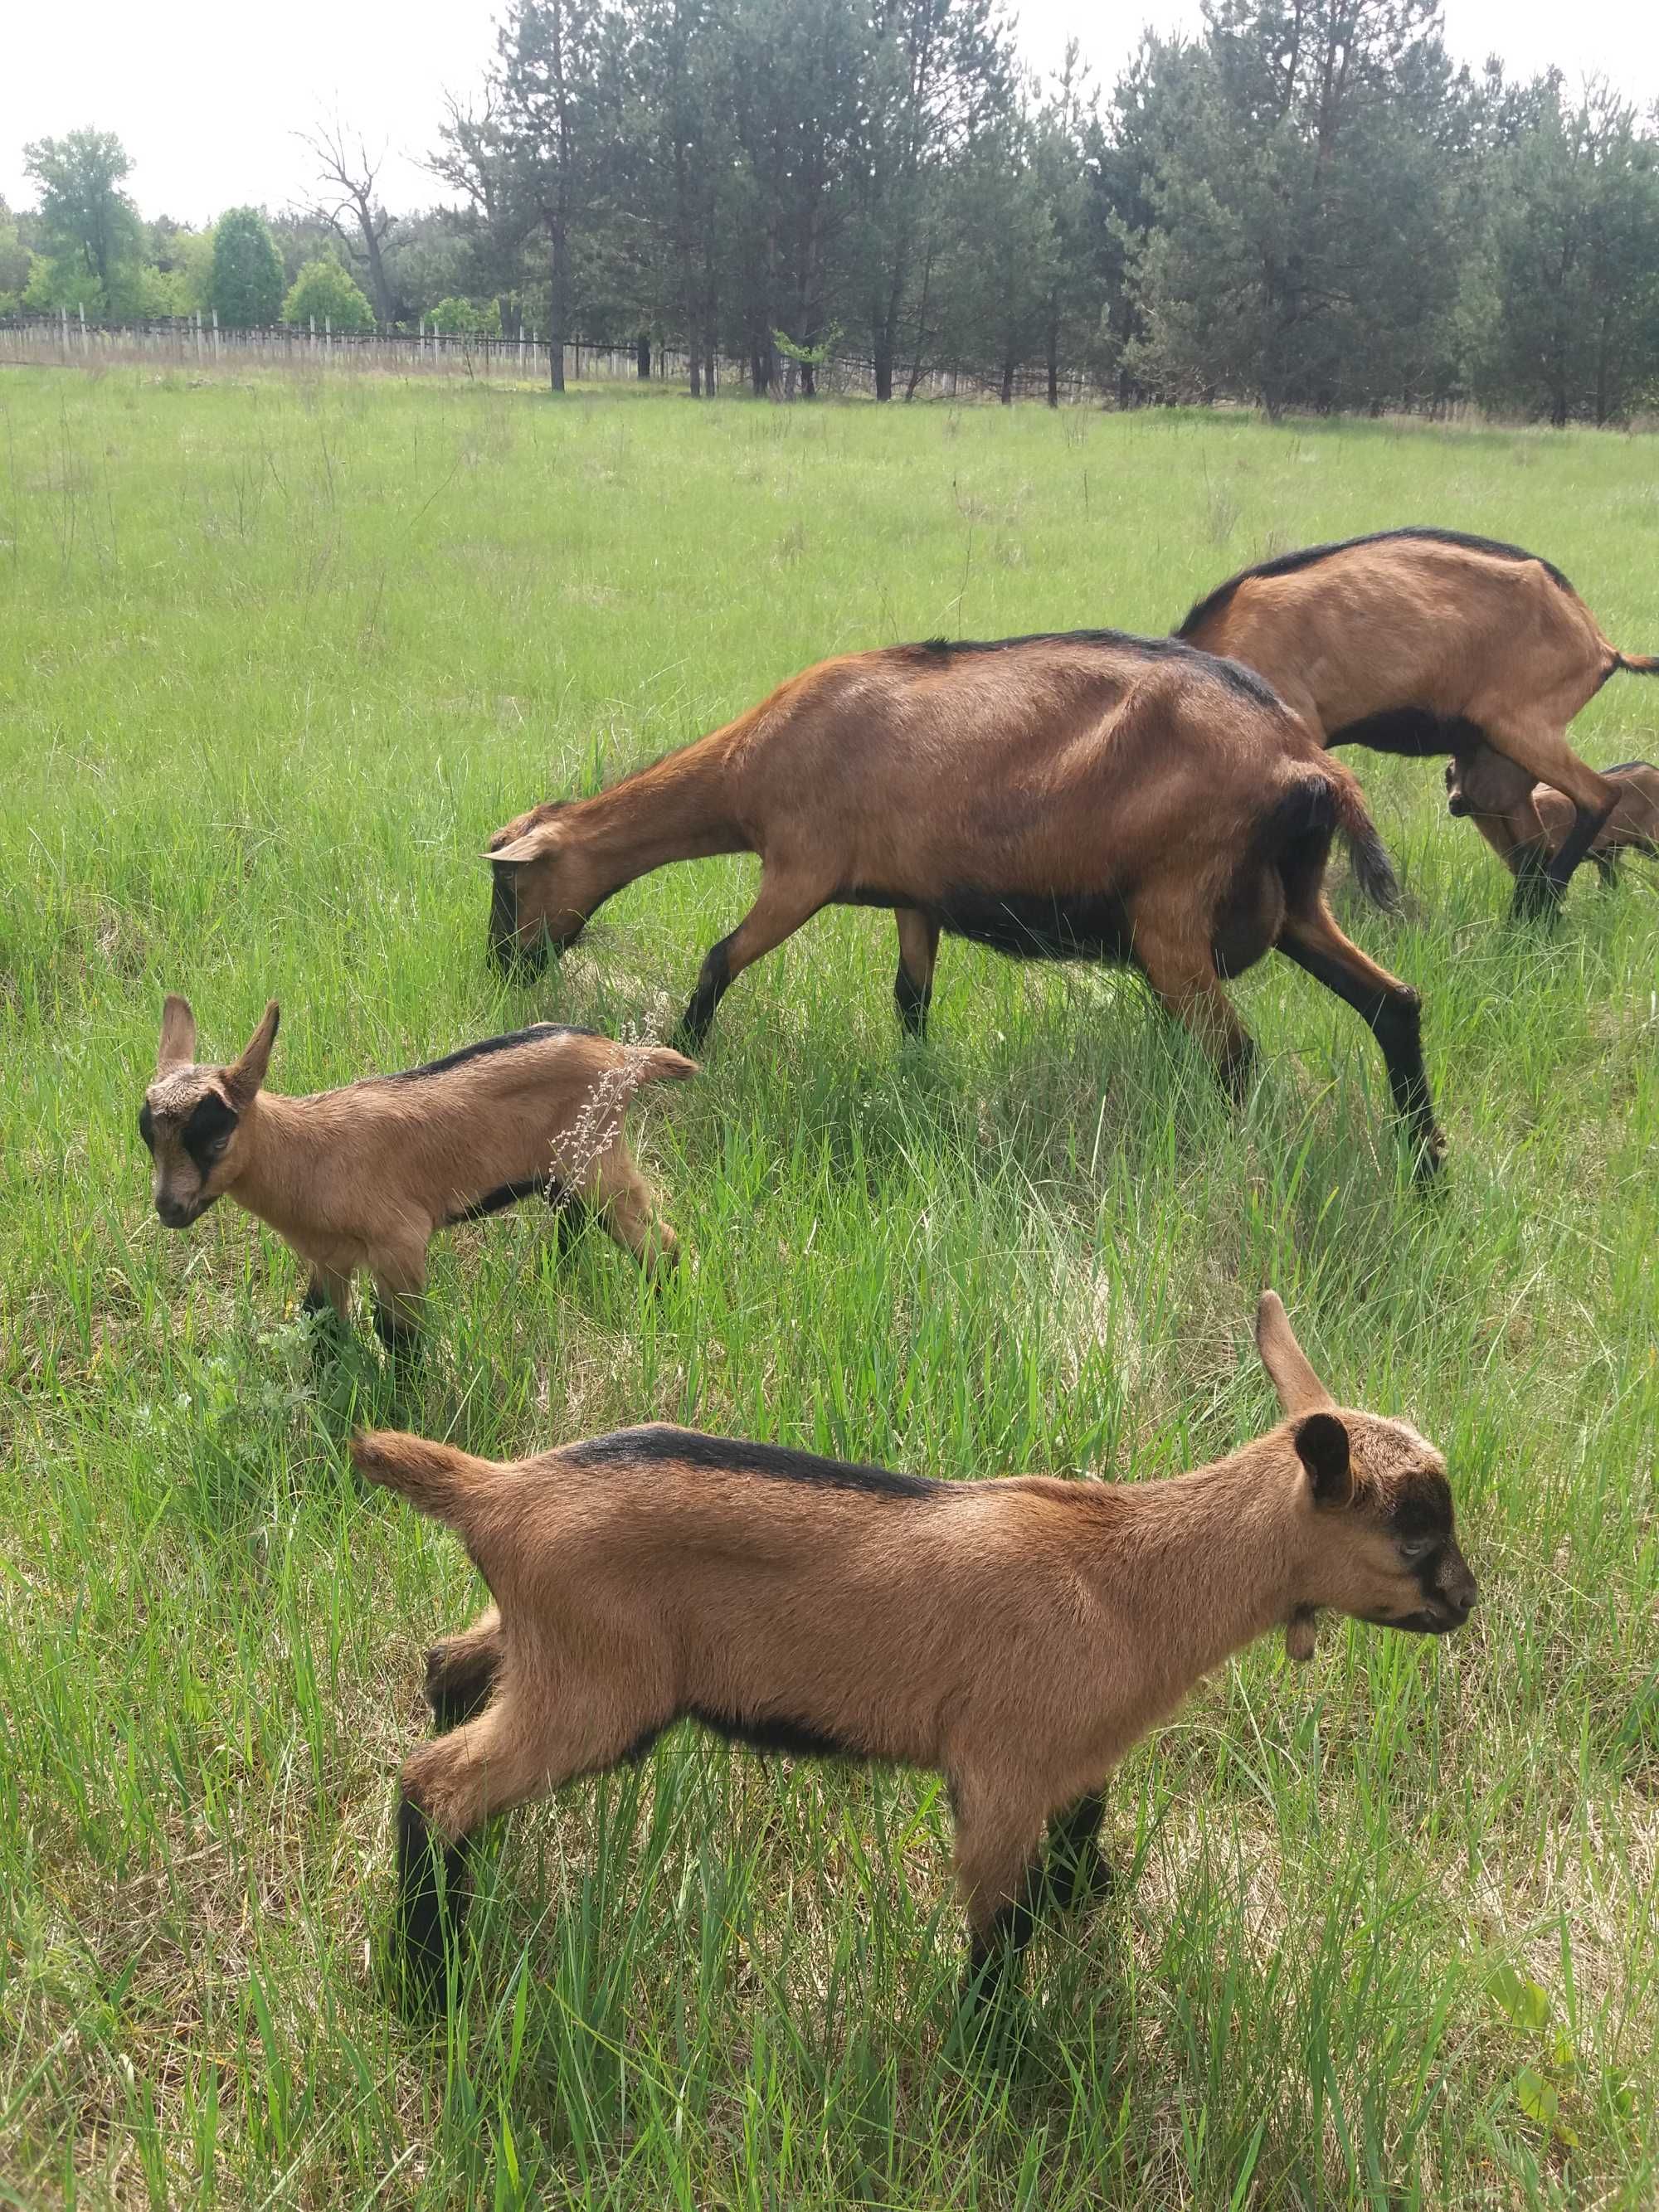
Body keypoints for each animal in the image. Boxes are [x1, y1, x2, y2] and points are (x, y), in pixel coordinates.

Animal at [136, 1004, 694, 1344]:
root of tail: (626, 1056)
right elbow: (321, 1325)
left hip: (599, 1159)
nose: (170, 1208)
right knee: (574, 1226)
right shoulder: (329, 1255)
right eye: (147, 1139)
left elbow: (400, 1338)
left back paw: (665, 1309)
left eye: (216, 1141)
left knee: (659, 1240)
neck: (308, 1152)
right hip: (566, 1172)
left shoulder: (399, 1242)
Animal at [353, 1291, 1477, 2008]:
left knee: (446, 1669)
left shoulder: (1077, 1757)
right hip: (597, 1686)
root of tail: (499, 1492)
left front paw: (1084, 1905)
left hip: (538, 1643)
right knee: (436, 1784)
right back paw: (428, 1983)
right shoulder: (999, 1768)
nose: (1465, 1602)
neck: (1128, 1580)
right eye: (1413, 1530)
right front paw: (995, 2051)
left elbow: (1081, 1838)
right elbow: (997, 1929)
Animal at [486, 628, 1451, 1168]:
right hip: (1296, 907)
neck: (747, 767)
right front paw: (914, 1085)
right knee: (1394, 1004)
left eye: (507, 881)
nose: (500, 969)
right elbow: (910, 998)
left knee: (1237, 1055)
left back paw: (1230, 1159)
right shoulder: (914, 896)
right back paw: (1428, 1170)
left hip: (1172, 919)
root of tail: (1304, 761)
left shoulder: (799, 871)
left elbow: (718, 959)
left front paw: (684, 1055)